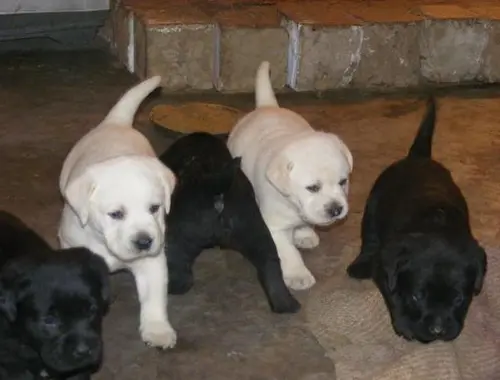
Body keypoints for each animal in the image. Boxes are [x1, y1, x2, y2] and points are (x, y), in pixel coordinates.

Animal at [58, 77, 178, 350]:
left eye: (154, 209)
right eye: (115, 214)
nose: (144, 241)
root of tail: (117, 122)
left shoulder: (153, 261)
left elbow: (154, 298)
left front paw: (157, 330)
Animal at [161, 132, 300, 314]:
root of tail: (214, 190)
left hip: (177, 239)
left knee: (179, 274)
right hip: (256, 232)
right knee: (271, 266)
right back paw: (285, 303)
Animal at [229, 62, 354, 290]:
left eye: (343, 182)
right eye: (313, 188)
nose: (336, 209)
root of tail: (266, 106)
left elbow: (305, 221)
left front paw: (304, 233)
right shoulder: (274, 227)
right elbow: (288, 252)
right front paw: (297, 275)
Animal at [348, 98, 484, 344]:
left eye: (459, 299)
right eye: (416, 297)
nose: (438, 330)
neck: (437, 225)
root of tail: (418, 157)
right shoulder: (384, 268)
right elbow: (394, 296)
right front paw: (404, 324)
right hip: (372, 206)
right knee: (369, 237)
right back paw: (359, 265)